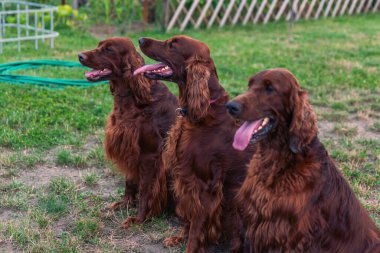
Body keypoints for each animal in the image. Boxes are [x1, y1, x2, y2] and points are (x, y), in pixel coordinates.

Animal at [78, 37, 178, 227]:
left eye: (109, 50)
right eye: (98, 45)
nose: (80, 55)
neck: (133, 97)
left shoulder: (149, 155)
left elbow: (146, 189)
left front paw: (139, 218)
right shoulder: (128, 147)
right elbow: (129, 180)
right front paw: (125, 203)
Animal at [135, 35, 254, 253]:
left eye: (172, 44)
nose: (140, 39)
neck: (203, 112)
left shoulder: (206, 187)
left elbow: (197, 227)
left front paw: (190, 246)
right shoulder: (186, 180)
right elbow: (189, 219)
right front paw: (179, 237)